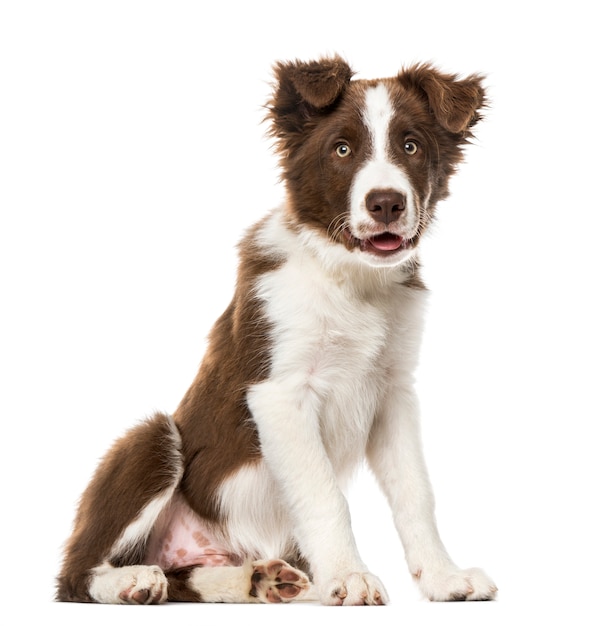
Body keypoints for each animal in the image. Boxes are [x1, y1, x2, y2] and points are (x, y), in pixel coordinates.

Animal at [56, 56, 498, 604]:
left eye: (411, 145)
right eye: (342, 149)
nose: (386, 203)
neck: (348, 278)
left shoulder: (393, 392)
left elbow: (416, 493)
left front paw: (442, 577)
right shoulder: (281, 392)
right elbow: (325, 494)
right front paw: (350, 576)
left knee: (188, 578)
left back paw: (258, 580)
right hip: (153, 439)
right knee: (76, 573)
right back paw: (131, 581)